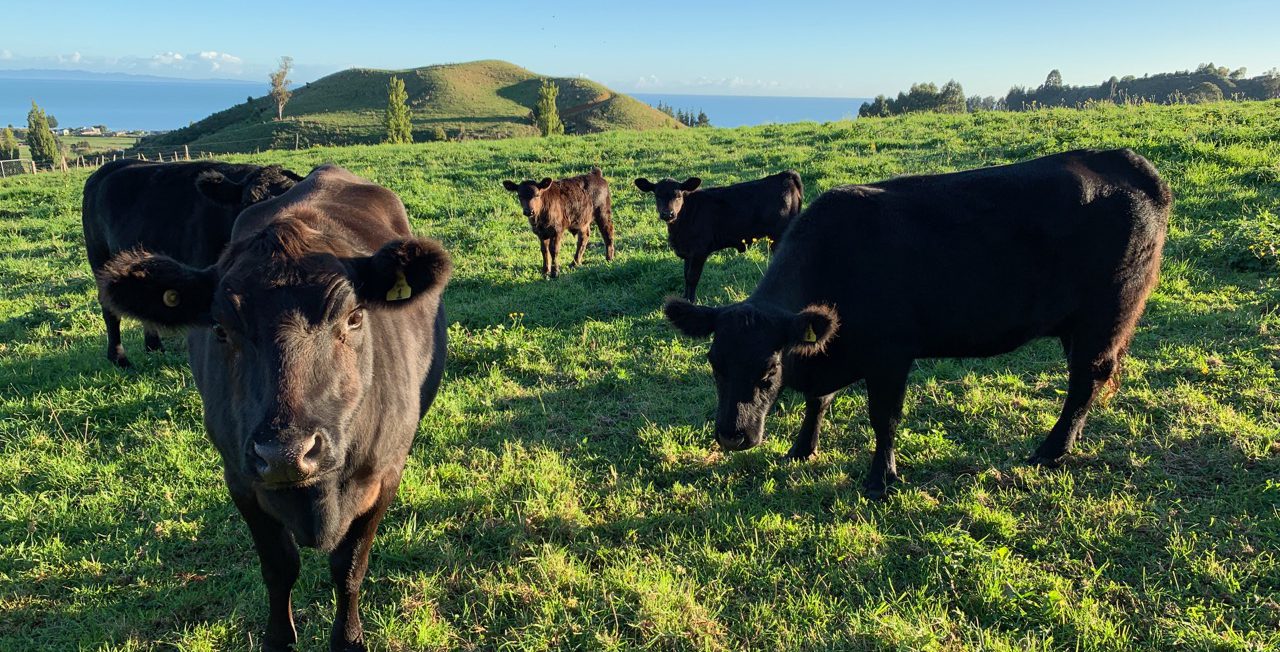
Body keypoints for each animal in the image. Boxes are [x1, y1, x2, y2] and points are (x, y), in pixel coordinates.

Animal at [637, 169, 803, 298]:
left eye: (679, 195)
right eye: (657, 195)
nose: (668, 214)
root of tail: (785, 175)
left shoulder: (699, 251)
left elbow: (692, 277)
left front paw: (690, 301)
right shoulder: (688, 253)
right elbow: (685, 275)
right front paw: (684, 298)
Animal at [665, 149, 1172, 494]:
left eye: (770, 369)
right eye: (714, 363)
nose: (731, 435)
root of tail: (1128, 162)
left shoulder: (891, 355)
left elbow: (883, 419)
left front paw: (881, 479)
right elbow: (819, 401)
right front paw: (802, 449)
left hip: (1106, 317)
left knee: (1086, 380)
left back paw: (1051, 451)